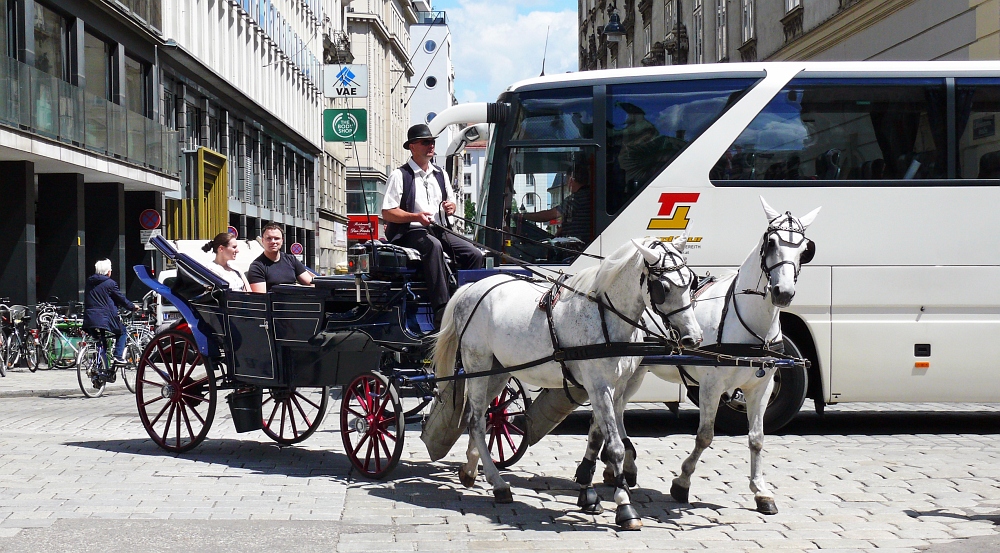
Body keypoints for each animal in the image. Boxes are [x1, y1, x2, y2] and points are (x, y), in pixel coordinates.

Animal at [432, 238, 704, 532]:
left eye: (692, 281)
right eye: (662, 288)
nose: (694, 338)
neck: (606, 316)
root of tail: (471, 288)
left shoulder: (615, 389)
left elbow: (598, 437)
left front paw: (588, 492)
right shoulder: (599, 386)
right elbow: (615, 446)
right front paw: (624, 506)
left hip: (498, 370)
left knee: (480, 416)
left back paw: (471, 471)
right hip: (477, 365)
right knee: (477, 422)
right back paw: (499, 483)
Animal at [580, 197, 820, 512]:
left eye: (805, 249)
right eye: (771, 242)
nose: (783, 292)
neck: (748, 322)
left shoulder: (762, 386)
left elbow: (757, 438)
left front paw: (761, 491)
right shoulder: (710, 386)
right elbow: (705, 436)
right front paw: (682, 482)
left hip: (632, 371)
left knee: (613, 408)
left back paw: (616, 467)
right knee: (612, 408)